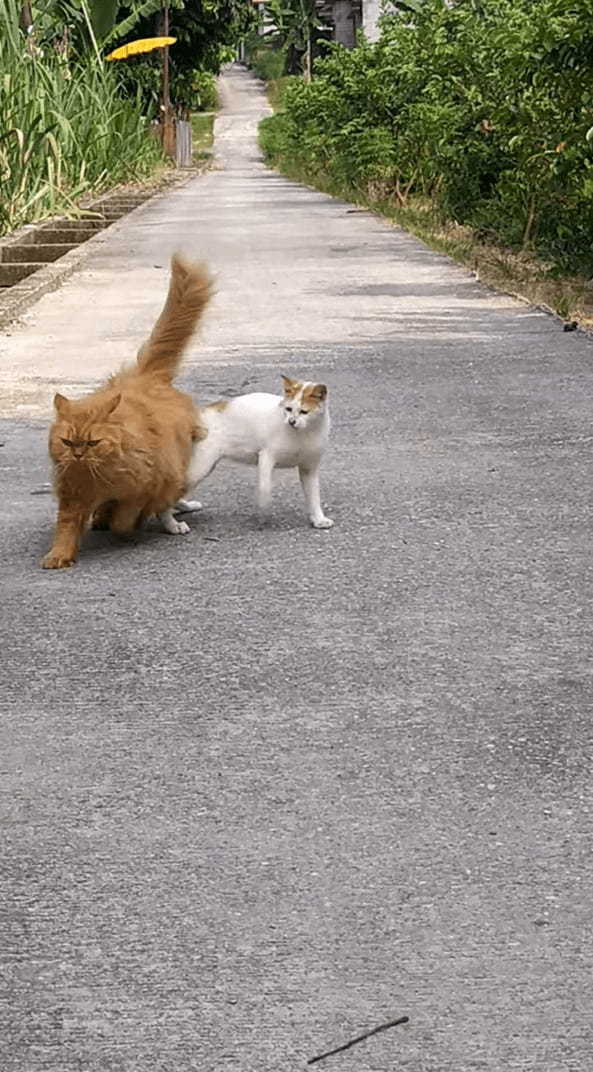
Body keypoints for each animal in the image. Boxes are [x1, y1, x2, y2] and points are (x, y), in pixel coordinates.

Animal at [43, 254, 212, 570]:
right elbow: (67, 528)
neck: (98, 479)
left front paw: (128, 526)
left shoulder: (144, 488)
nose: (78, 454)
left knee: (171, 498)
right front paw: (58, 556)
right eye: (68, 442)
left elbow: (125, 518)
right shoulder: (72, 498)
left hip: (177, 465)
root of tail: (144, 377)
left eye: (93, 442)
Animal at [159, 375, 332, 533]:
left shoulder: (309, 469)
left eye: (304, 412)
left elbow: (314, 496)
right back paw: (172, 525)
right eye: (288, 409)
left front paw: (318, 519)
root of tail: (197, 415)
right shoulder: (266, 457)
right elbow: (265, 487)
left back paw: (184, 507)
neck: (304, 433)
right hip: (198, 469)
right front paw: (263, 507)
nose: (291, 422)